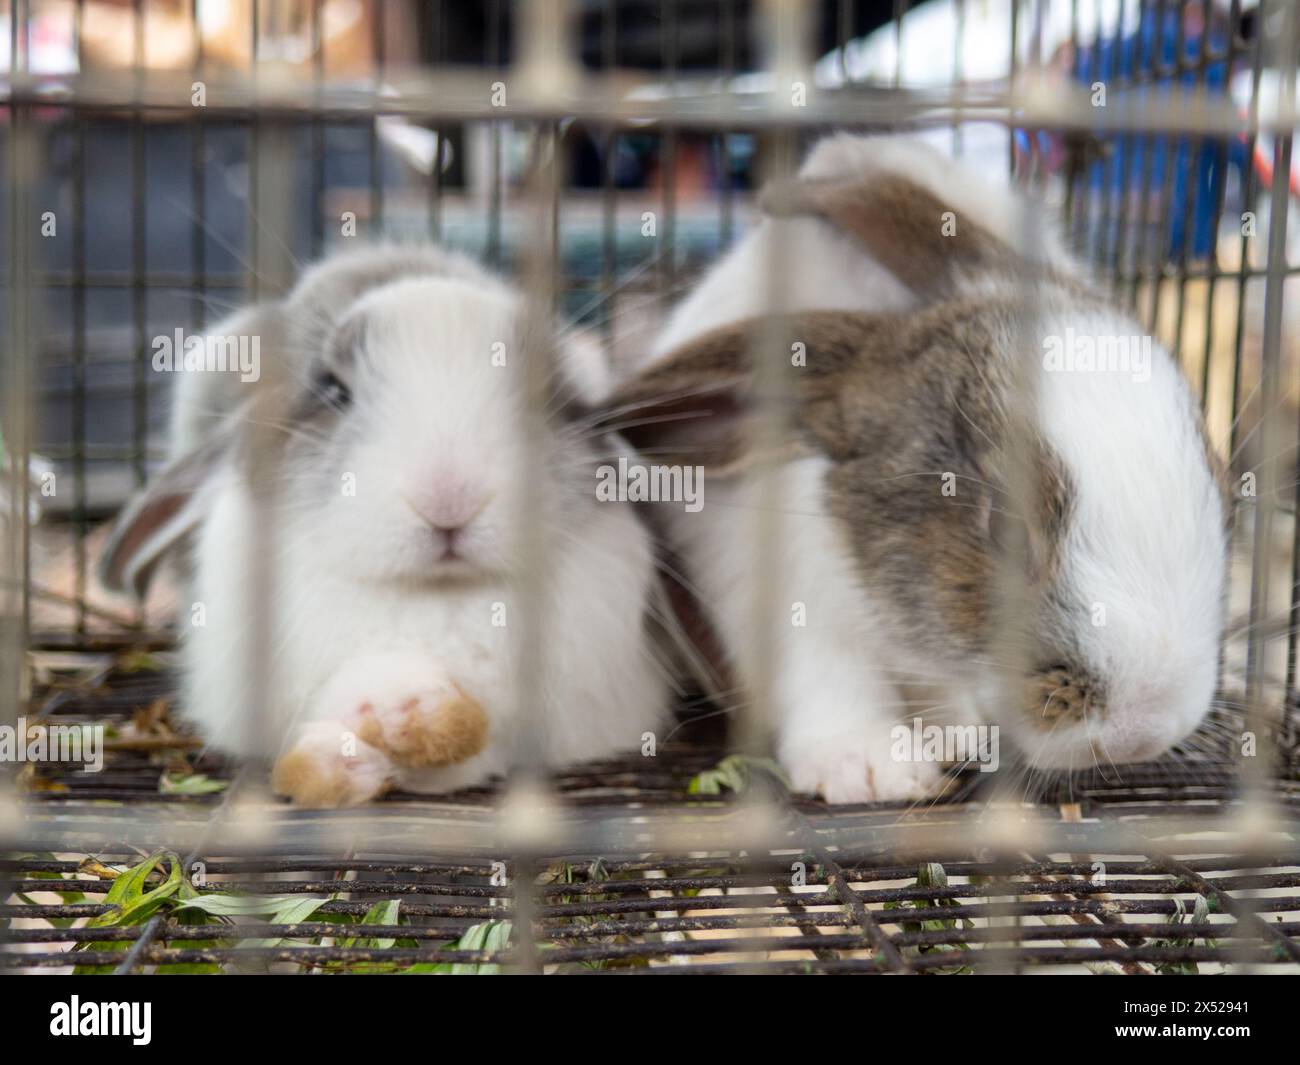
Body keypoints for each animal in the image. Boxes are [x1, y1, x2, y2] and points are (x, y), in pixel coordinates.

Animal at [101, 244, 668, 806]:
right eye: (333, 391)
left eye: (541, 395)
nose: (449, 496)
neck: (432, 595)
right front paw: (356, 744)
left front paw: (417, 714)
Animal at [600, 134, 1229, 803]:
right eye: (1005, 529)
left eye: (1221, 487)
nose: (1144, 730)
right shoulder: (786, 600)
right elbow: (829, 683)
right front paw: (869, 770)